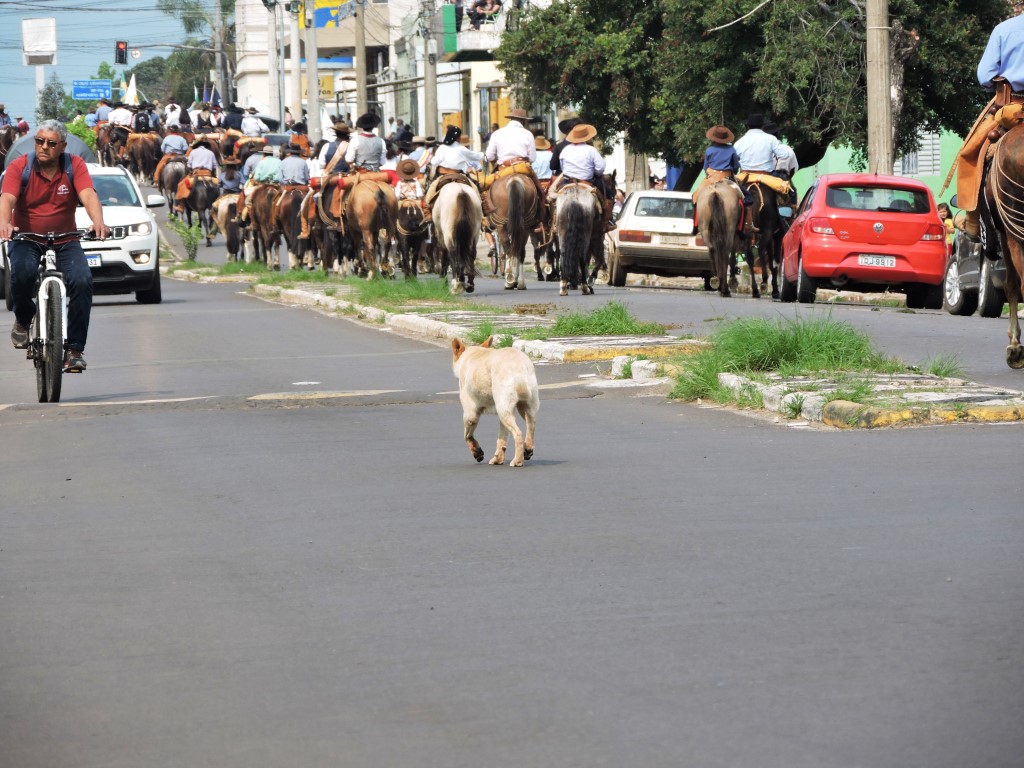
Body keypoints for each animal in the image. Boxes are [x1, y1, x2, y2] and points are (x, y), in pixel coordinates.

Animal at [452, 337, 540, 468]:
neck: (474, 353)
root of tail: (518, 368)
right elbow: (502, 437)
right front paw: (498, 458)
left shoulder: (470, 412)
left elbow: (467, 435)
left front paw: (477, 451)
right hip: (522, 403)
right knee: (531, 423)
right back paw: (527, 449)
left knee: (518, 433)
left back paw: (517, 461)